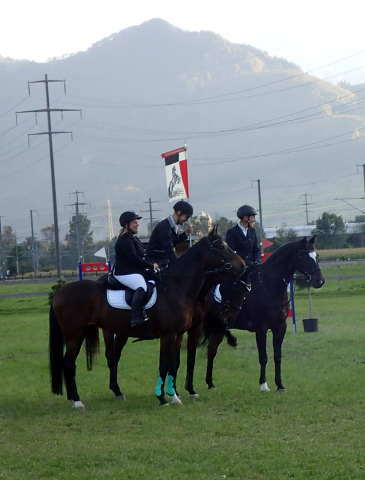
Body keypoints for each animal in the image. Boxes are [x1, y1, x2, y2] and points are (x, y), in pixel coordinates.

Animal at [188, 233, 324, 394]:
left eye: (317, 256)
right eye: (304, 256)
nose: (320, 281)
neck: (270, 287)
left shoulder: (280, 327)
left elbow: (277, 356)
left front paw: (280, 385)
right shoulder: (261, 329)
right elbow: (263, 357)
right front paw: (264, 385)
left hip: (219, 327)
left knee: (212, 350)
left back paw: (210, 383)